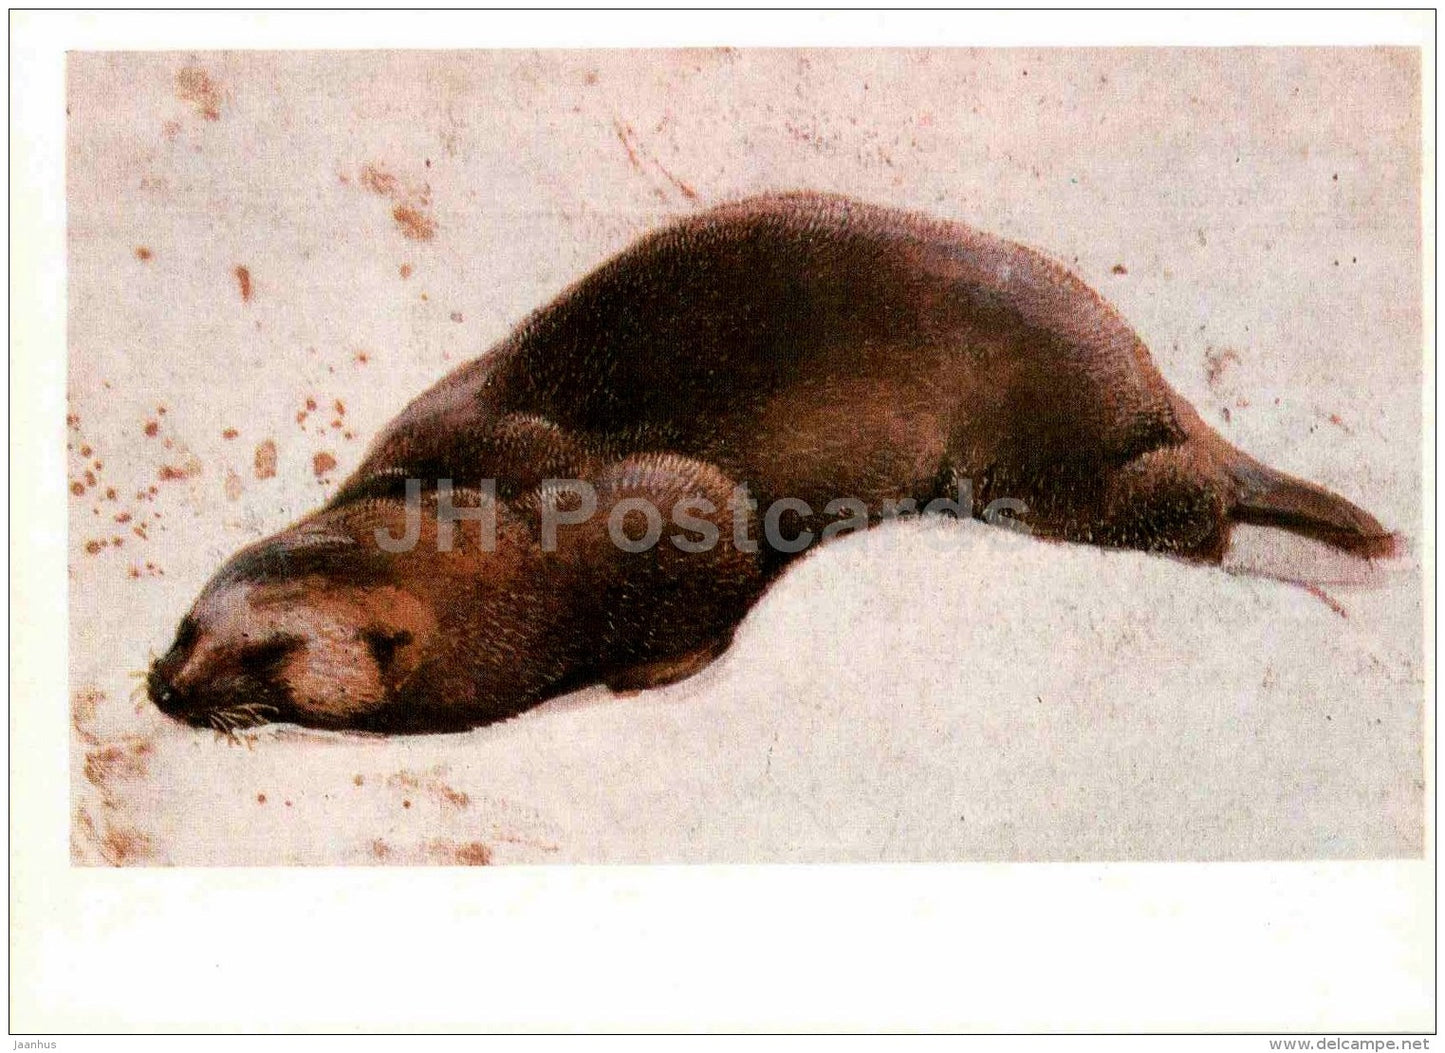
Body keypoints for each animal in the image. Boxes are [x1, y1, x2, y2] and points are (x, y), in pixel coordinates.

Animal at [147, 192, 1396, 735]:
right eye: (187, 623)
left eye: (268, 652)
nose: (165, 687)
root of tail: (1137, 364)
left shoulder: (671, 512)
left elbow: (714, 562)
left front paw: (648, 672)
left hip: (1045, 454)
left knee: (1182, 497)